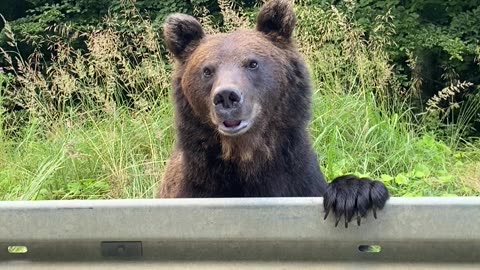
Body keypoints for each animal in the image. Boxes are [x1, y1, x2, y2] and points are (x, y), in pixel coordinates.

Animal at [158, 0, 390, 228]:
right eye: (207, 70)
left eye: (252, 63)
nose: (226, 96)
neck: (246, 155)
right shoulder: (196, 185)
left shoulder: (296, 176)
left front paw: (356, 193)